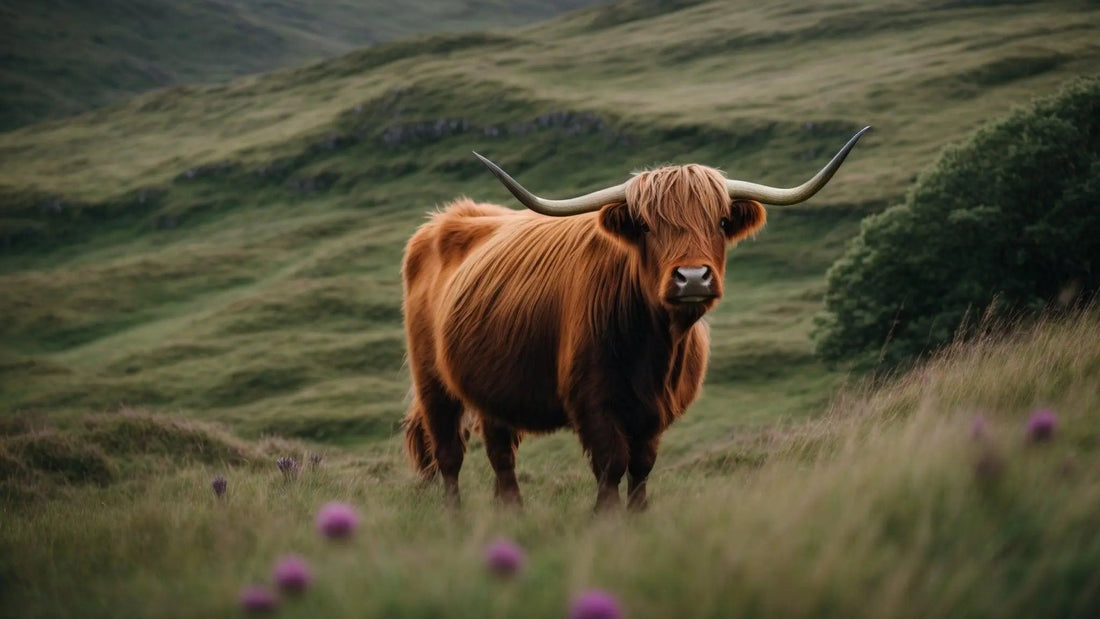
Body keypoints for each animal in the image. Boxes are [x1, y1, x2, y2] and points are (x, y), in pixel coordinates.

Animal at [401, 127, 870, 511]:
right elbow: (612, 466)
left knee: (500, 455)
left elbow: (642, 467)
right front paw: (606, 520)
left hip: (489, 389)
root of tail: (445, 219)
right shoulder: (594, 403)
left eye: (721, 221)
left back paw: (510, 513)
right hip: (433, 383)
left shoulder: (656, 412)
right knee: (449, 455)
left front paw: (638, 515)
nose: (692, 277)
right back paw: (457, 518)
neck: (654, 347)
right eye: (645, 226)